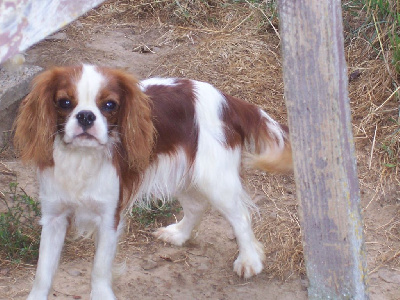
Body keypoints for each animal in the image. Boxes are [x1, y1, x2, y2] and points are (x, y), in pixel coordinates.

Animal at [14, 64, 292, 298]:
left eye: (109, 105)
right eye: (64, 102)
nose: (85, 116)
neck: (81, 157)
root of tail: (227, 100)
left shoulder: (109, 217)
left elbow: (100, 269)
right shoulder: (54, 216)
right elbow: (43, 272)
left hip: (215, 179)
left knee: (240, 217)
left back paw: (249, 260)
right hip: (184, 173)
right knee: (196, 207)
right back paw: (179, 235)